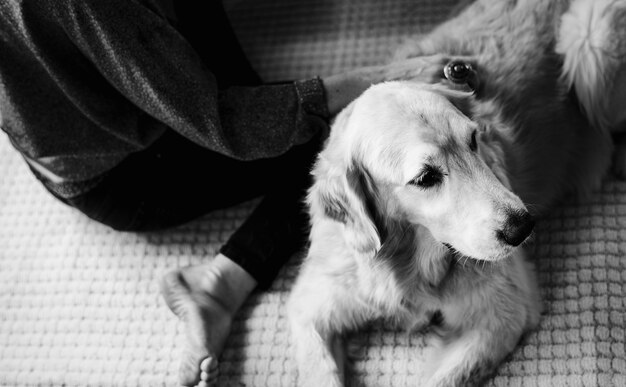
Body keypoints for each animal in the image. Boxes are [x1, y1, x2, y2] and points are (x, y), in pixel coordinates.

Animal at [288, 0, 624, 386]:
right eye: (425, 177)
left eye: (473, 140)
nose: (523, 227)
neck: (409, 259)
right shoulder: (313, 304)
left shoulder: (505, 313)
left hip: (588, 41)